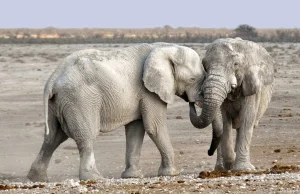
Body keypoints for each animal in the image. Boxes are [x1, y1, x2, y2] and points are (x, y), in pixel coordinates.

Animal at [27, 42, 206, 182]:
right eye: (192, 79)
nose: (192, 102)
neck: (166, 48)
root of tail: (53, 77)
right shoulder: (149, 91)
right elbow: (154, 127)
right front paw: (172, 173)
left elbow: (136, 129)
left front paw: (132, 176)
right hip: (80, 99)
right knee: (86, 136)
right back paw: (94, 178)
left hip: (58, 102)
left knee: (53, 137)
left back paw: (37, 178)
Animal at [190, 38, 274, 171]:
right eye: (204, 65)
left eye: (236, 64)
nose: (193, 102)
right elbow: (225, 121)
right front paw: (231, 163)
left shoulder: (251, 87)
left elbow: (247, 119)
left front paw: (243, 169)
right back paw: (221, 168)